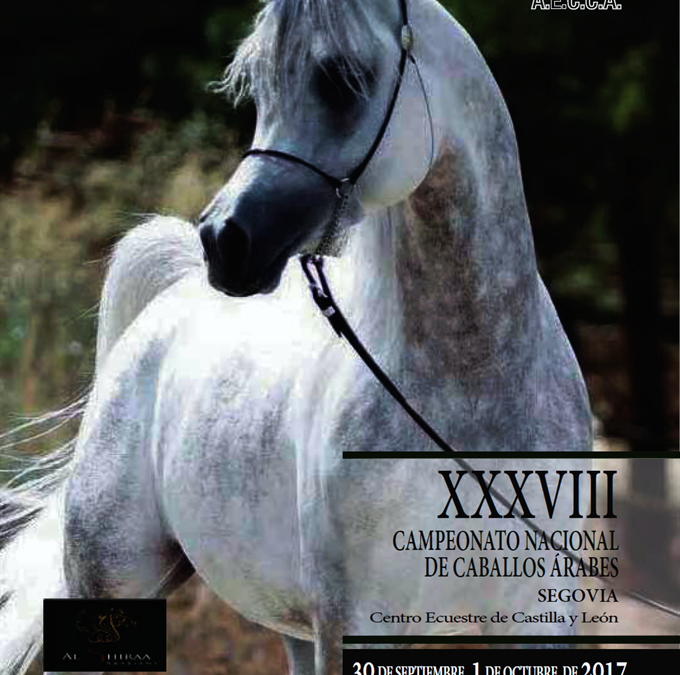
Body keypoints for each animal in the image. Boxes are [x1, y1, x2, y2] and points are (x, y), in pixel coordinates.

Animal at [0, 0, 593, 673]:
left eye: (341, 79)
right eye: (257, 86)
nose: (225, 241)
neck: (470, 386)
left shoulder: (539, 613)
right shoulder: (354, 623)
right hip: (110, 580)